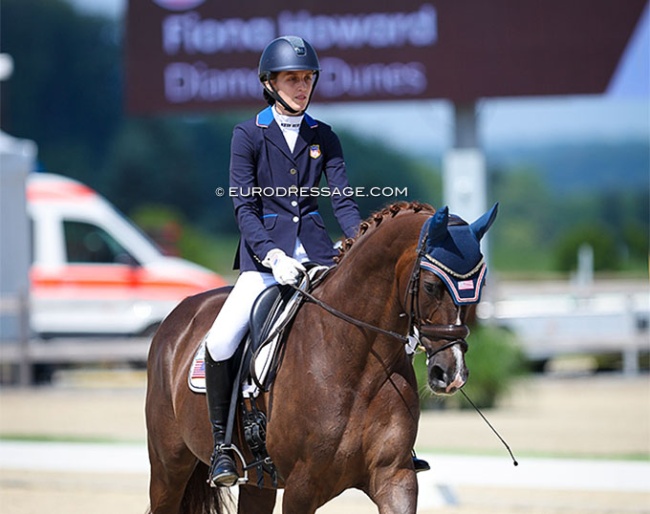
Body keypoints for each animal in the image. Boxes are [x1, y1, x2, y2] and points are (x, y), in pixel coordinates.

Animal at [144, 201, 494, 512]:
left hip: (258, 483)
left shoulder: (394, 476)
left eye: (479, 287)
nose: (451, 375)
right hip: (168, 469)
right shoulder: (302, 486)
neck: (359, 360)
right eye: (433, 286)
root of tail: (180, 313)